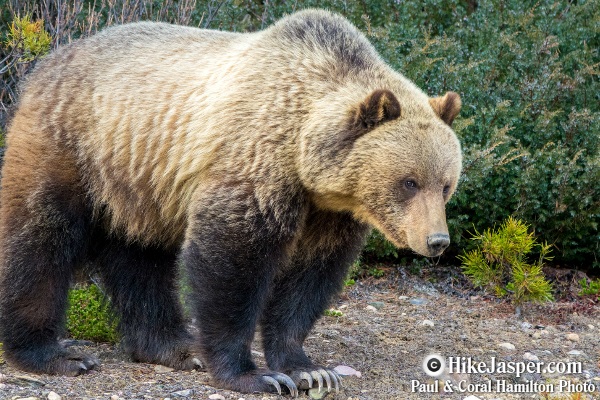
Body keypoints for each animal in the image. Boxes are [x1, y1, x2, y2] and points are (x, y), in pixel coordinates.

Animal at [0, 7, 462, 396]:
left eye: (445, 184)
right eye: (409, 181)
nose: (437, 241)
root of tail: (50, 60)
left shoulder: (328, 213)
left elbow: (310, 280)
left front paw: (308, 368)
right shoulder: (254, 164)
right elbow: (233, 262)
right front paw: (255, 374)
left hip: (139, 182)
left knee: (140, 260)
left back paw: (172, 346)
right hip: (74, 145)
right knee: (40, 238)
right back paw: (54, 354)